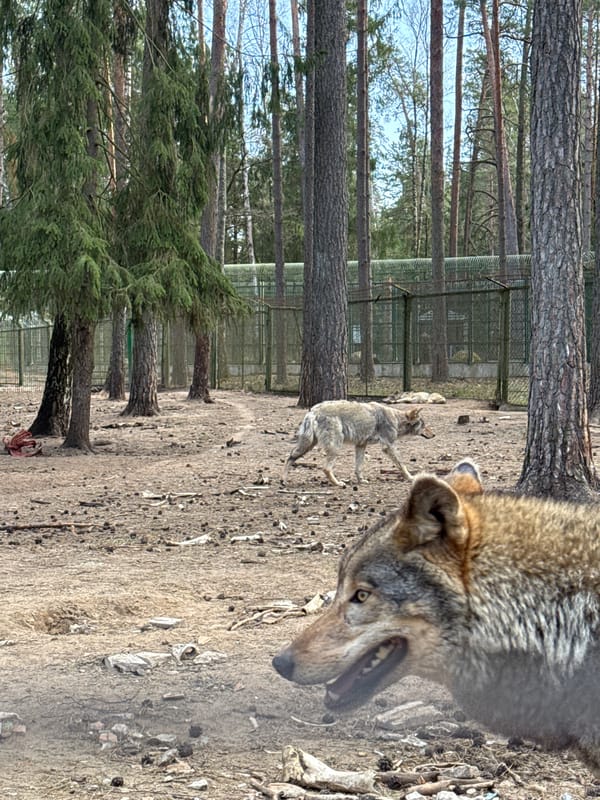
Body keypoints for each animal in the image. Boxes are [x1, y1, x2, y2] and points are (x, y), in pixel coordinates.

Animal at [282, 400, 435, 486]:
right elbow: (402, 465)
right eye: (424, 425)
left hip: (307, 446)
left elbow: (358, 467)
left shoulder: (361, 445)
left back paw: (283, 481)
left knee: (289, 457)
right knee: (325, 468)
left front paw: (361, 481)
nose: (434, 435)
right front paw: (411, 478)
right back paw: (338, 483)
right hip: (335, 448)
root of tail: (313, 411)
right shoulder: (389, 446)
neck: (396, 420)